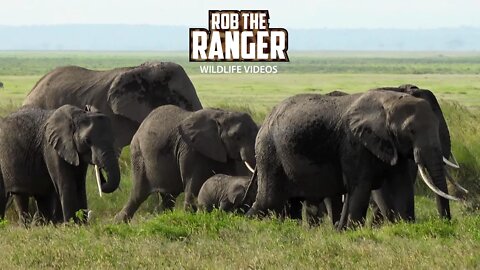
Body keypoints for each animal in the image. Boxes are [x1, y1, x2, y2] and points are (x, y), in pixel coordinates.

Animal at [248, 90, 462, 228]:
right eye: (411, 131)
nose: (446, 224)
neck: (388, 102)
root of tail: (265, 119)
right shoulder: (354, 143)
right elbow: (360, 187)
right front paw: (352, 231)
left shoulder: (392, 146)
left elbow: (401, 186)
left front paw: (406, 227)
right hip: (269, 152)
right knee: (268, 200)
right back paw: (249, 227)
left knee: (291, 202)